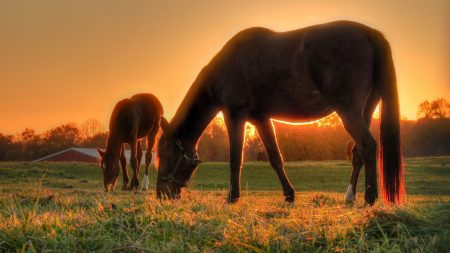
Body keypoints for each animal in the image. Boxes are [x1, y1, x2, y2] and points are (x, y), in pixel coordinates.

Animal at [156, 20, 404, 205]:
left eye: (165, 155)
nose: (161, 194)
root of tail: (369, 33)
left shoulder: (234, 115)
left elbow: (235, 158)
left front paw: (232, 197)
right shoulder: (261, 119)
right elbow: (275, 158)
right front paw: (289, 195)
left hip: (349, 111)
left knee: (367, 146)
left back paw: (370, 197)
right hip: (366, 110)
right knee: (357, 151)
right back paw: (350, 196)